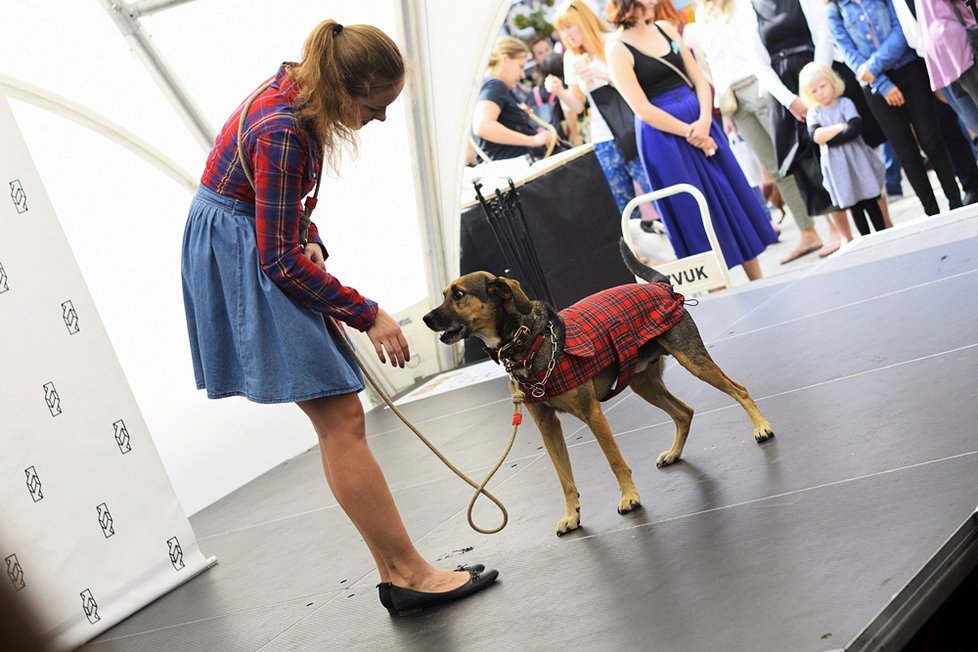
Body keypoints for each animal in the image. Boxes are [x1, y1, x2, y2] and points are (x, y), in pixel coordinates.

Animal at [420, 243, 772, 536]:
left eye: (459, 294)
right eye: (444, 294)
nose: (425, 318)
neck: (530, 340)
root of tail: (660, 287)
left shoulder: (593, 415)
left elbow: (615, 461)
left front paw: (629, 497)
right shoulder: (547, 426)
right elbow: (564, 478)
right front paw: (571, 515)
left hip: (693, 360)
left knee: (738, 389)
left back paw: (761, 427)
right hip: (642, 383)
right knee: (684, 412)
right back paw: (674, 453)